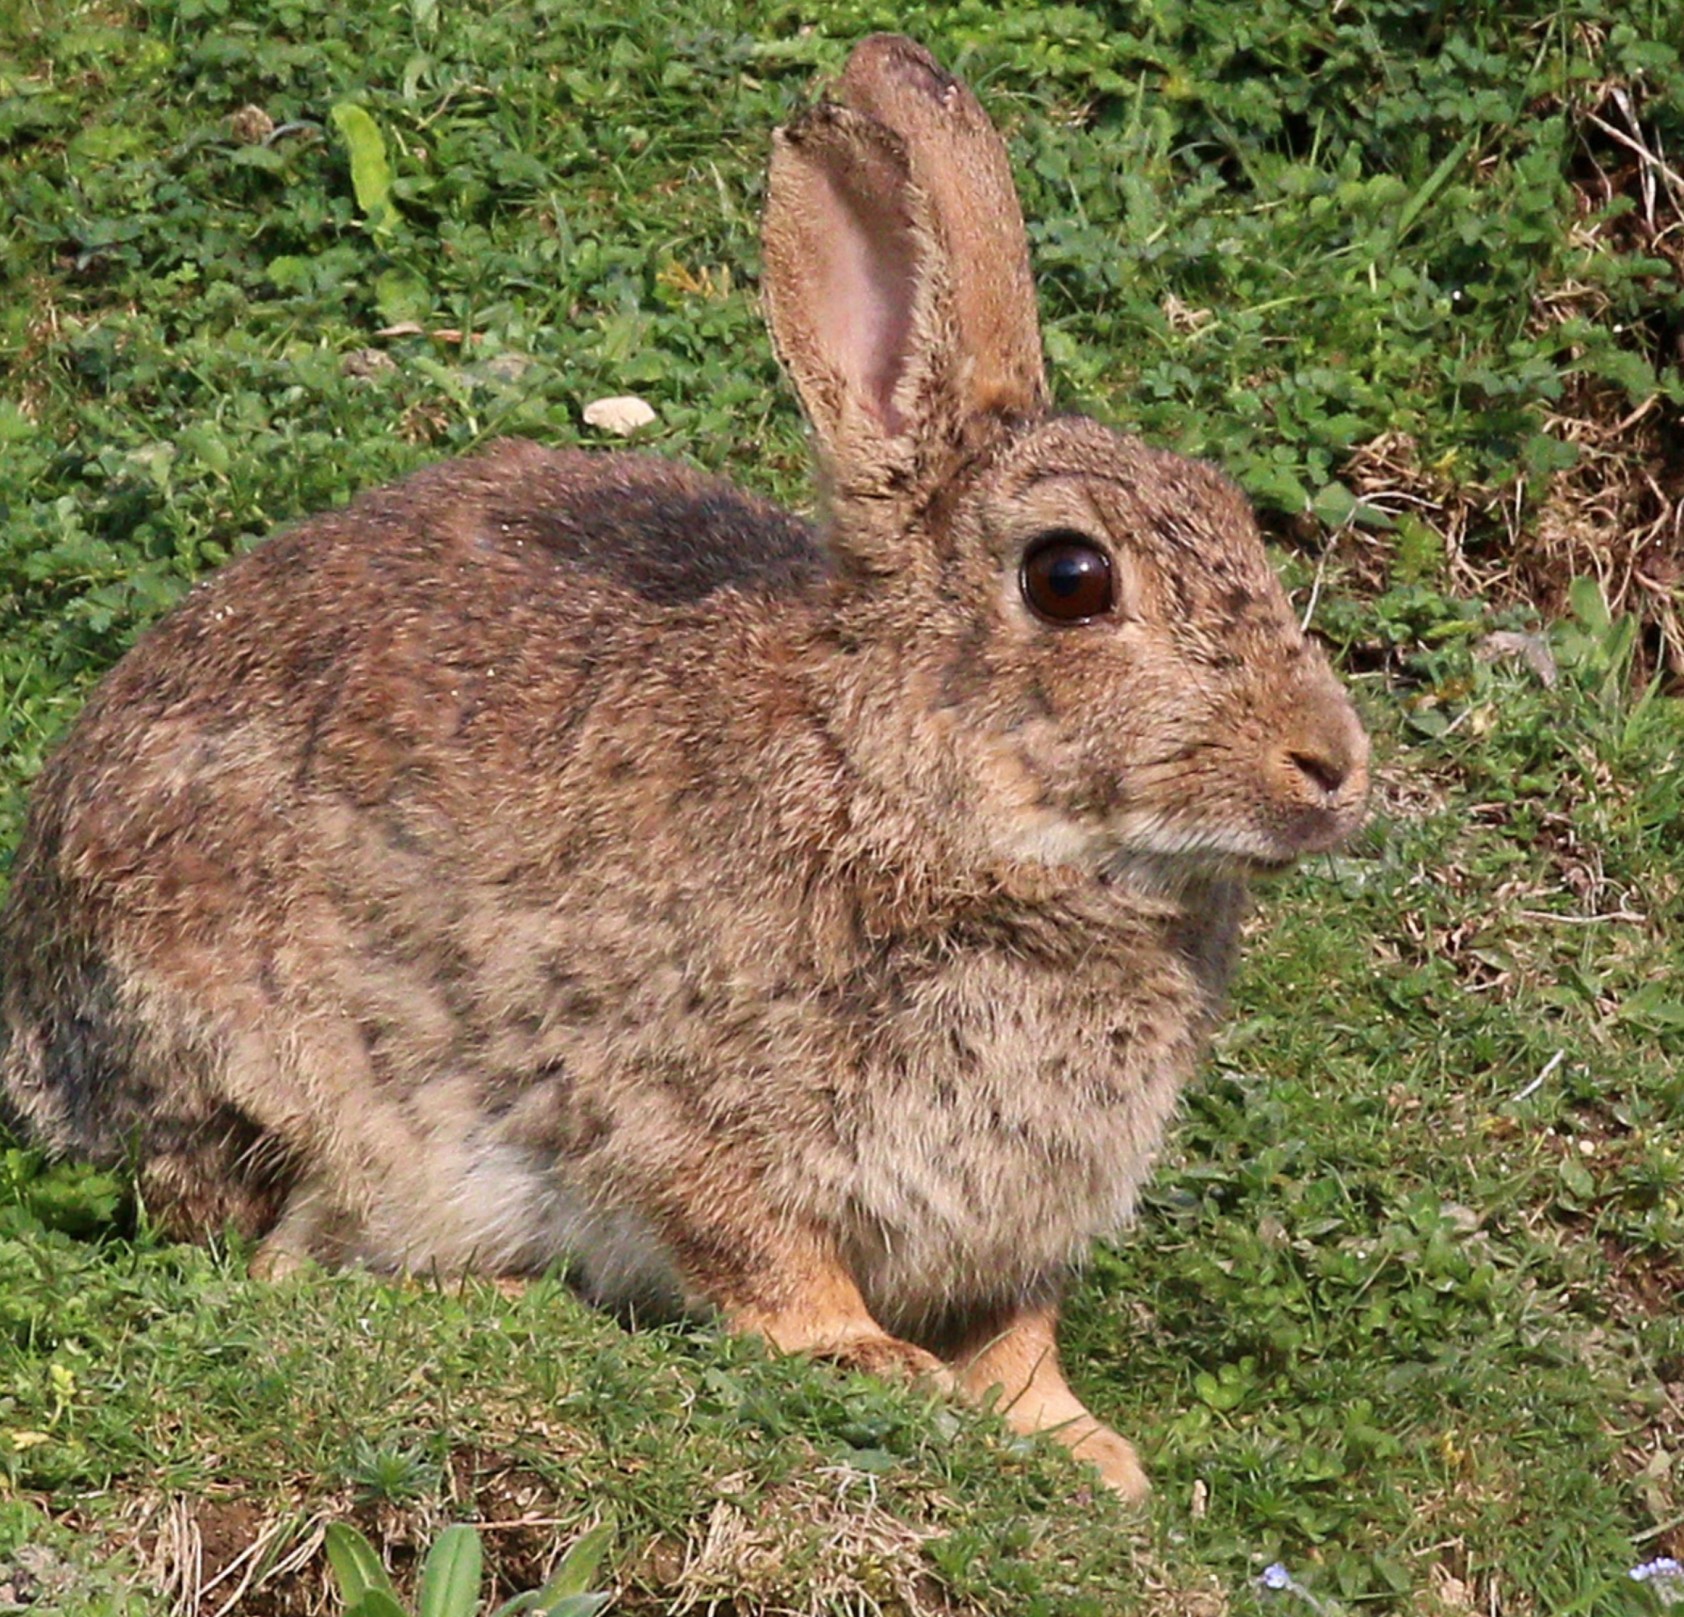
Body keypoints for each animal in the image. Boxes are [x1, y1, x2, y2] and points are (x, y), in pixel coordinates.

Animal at [0, 34, 1368, 1499]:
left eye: (1235, 514)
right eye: (1070, 578)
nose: (1332, 766)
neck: (897, 784)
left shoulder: (1015, 1222)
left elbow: (1018, 1340)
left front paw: (1086, 1452)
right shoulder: (684, 1115)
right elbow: (764, 1257)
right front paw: (874, 1364)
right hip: (278, 1072)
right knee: (274, 1259)